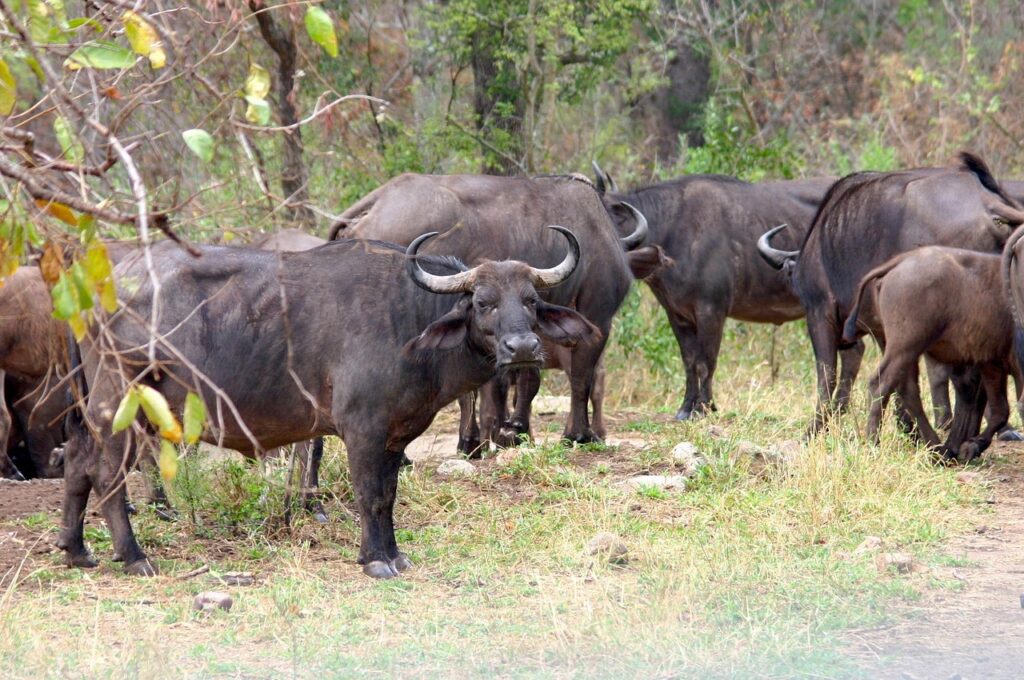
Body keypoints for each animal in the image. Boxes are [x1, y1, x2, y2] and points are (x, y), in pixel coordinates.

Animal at [59, 231, 597, 577]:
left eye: (530, 301)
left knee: (79, 462)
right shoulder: (362, 431)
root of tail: (96, 286)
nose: (522, 348)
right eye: (483, 302)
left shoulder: (395, 437)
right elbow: (369, 495)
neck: (408, 320)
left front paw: (393, 554)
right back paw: (133, 556)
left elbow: (387, 496)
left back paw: (76, 549)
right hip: (120, 404)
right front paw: (375, 560)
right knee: (106, 474)